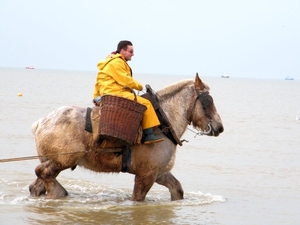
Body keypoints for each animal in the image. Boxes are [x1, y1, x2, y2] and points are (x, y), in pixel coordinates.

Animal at [29, 73, 224, 201]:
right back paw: (59, 193)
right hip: (63, 160)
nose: (219, 127)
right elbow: (137, 198)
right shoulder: (146, 175)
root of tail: (41, 122)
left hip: (54, 162)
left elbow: (178, 190)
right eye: (208, 102)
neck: (163, 121)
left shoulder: (160, 173)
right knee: (43, 173)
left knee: (37, 184)